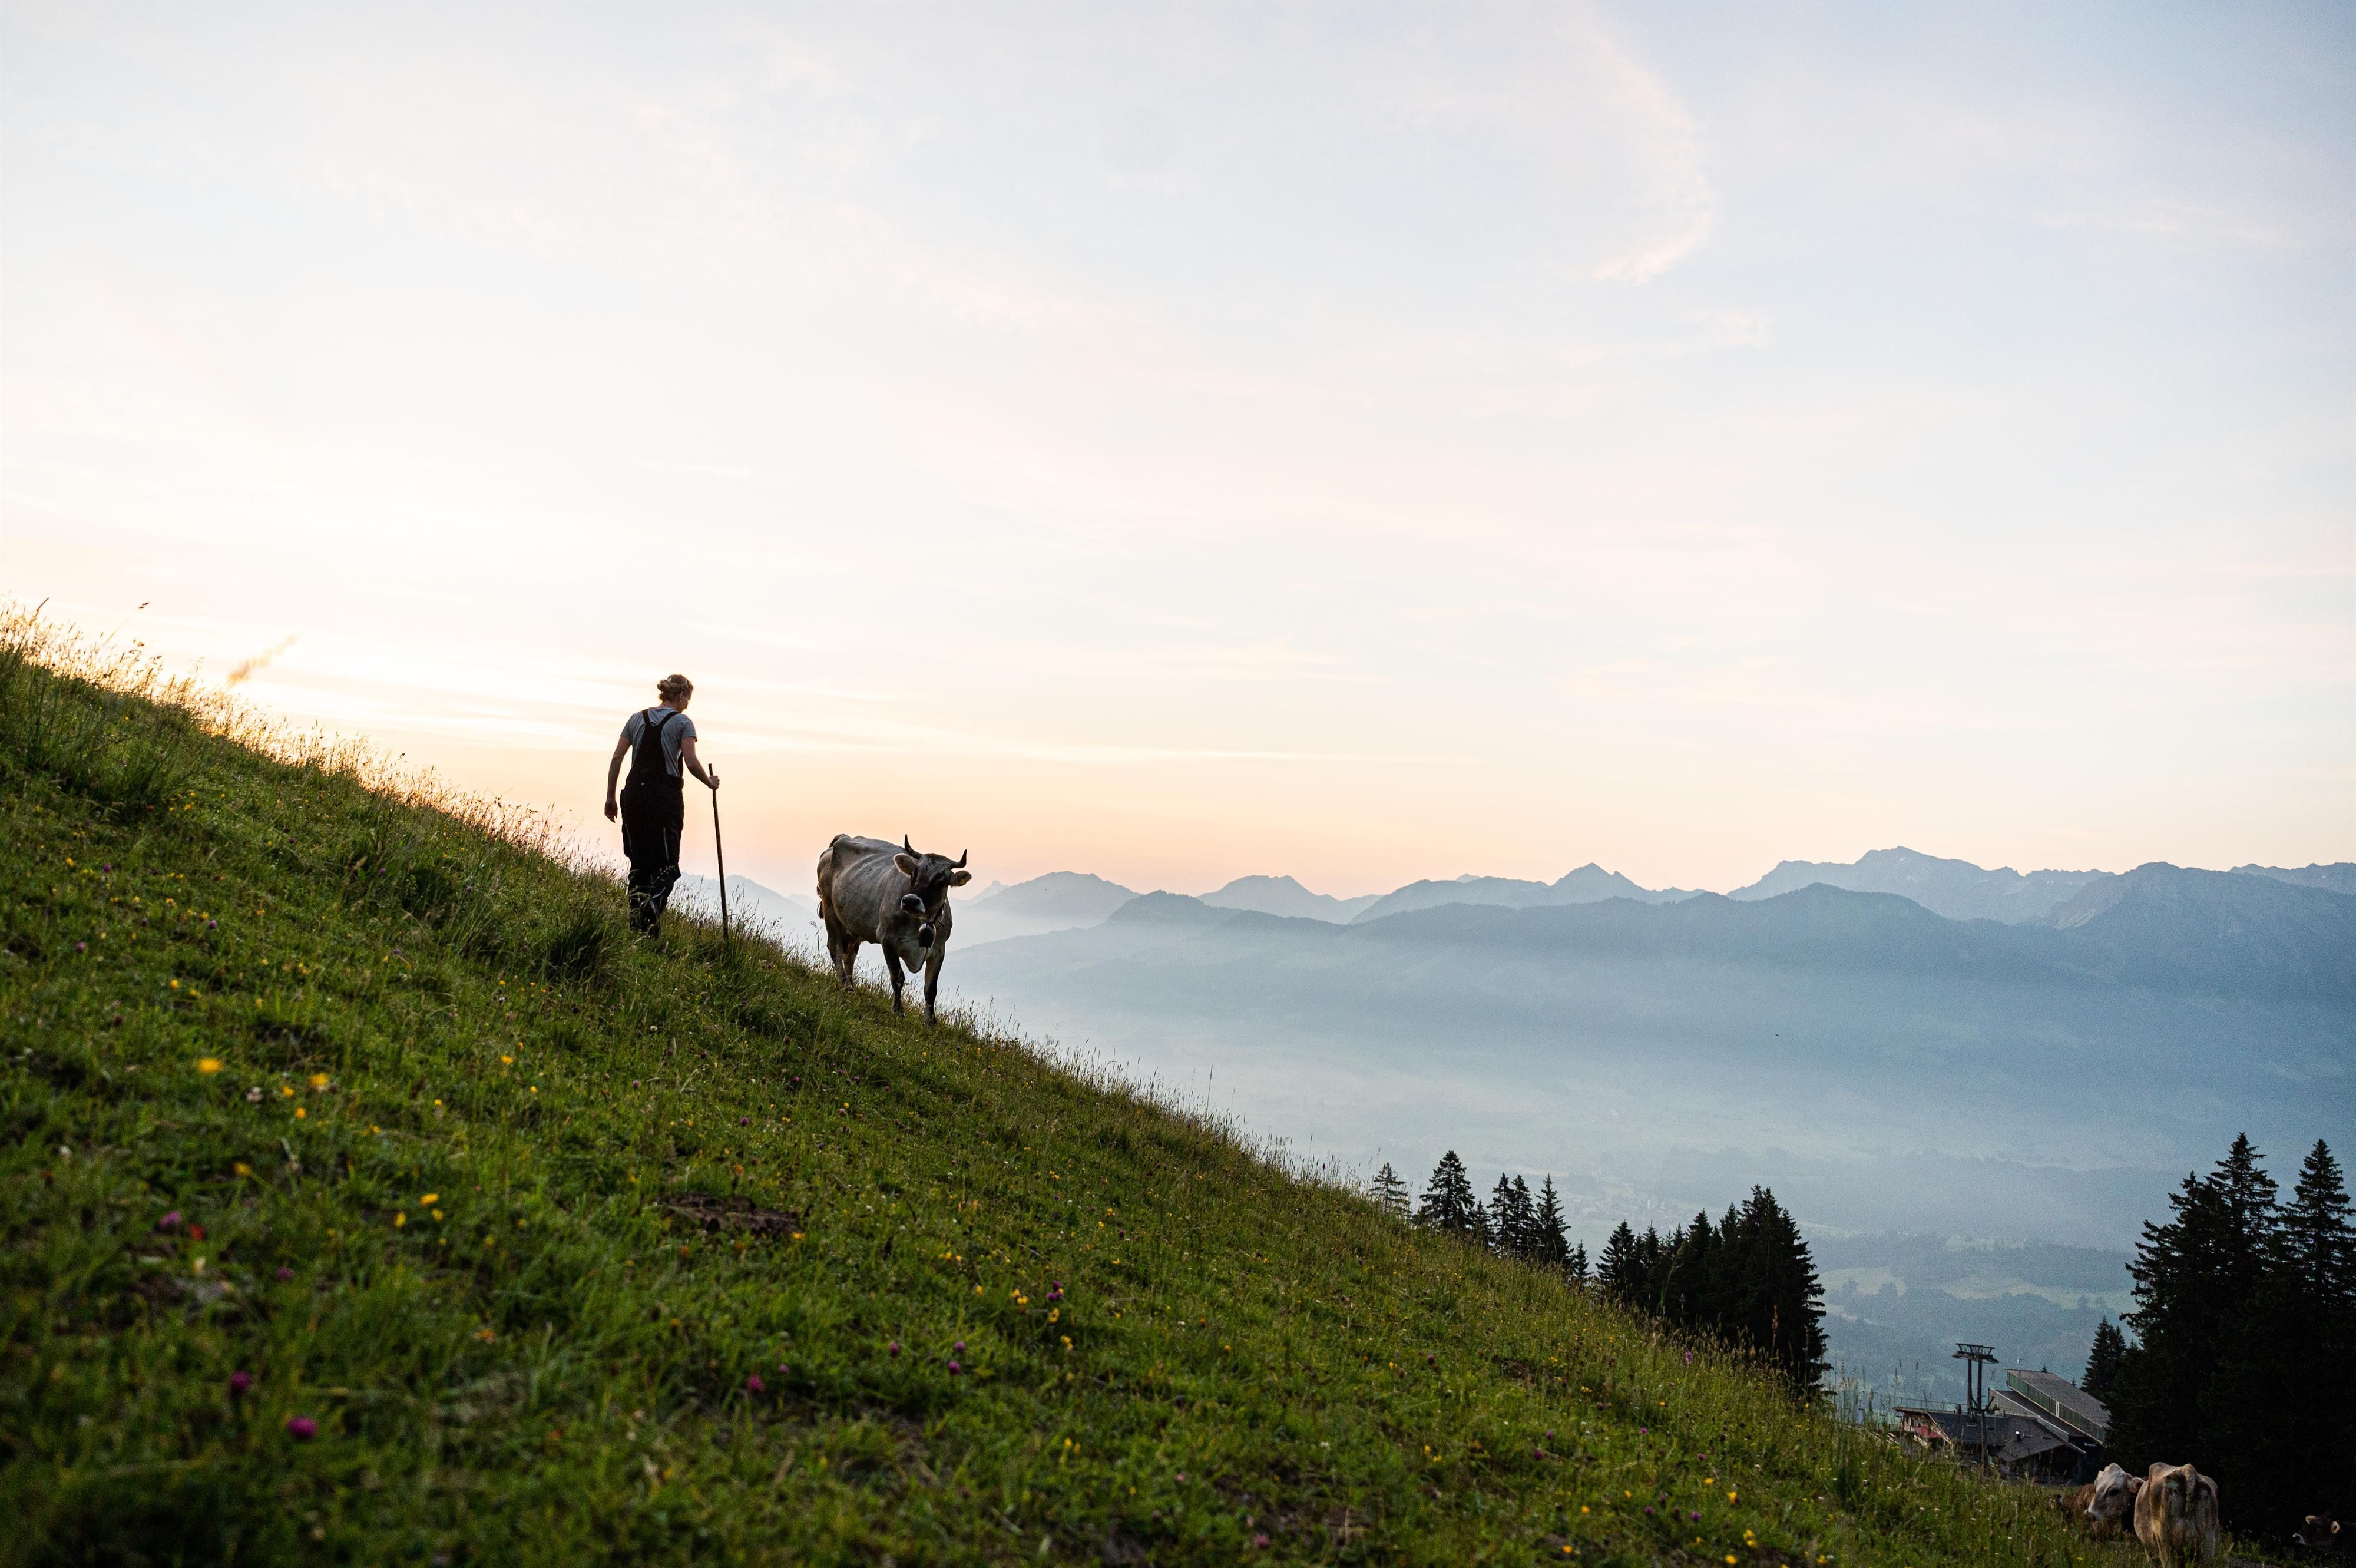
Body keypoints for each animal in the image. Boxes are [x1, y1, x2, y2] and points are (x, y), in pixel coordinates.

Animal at [815, 834, 971, 1025]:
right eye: (914, 873)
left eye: (940, 880)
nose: (910, 901)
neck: (921, 921)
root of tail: (844, 838)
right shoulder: (888, 939)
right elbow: (898, 977)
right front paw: (898, 1010)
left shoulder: (939, 949)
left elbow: (930, 988)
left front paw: (930, 1021)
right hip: (830, 909)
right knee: (835, 948)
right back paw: (846, 985)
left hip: (854, 923)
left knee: (850, 954)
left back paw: (852, 985)